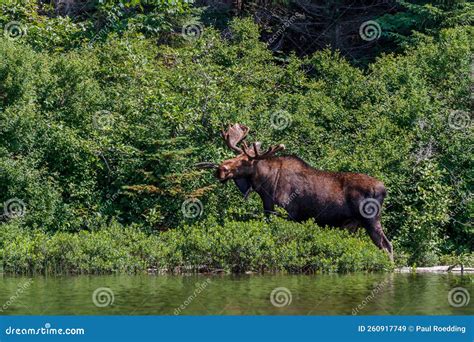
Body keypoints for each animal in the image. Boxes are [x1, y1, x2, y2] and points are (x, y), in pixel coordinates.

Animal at [196, 123, 392, 260]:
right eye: (237, 156)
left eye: (245, 161)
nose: (221, 169)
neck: (265, 188)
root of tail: (384, 189)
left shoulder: (288, 213)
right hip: (353, 224)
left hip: (371, 219)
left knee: (387, 246)